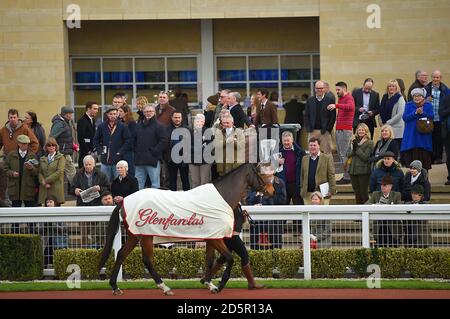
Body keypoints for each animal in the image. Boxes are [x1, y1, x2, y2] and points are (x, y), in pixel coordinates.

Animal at [98, 165, 274, 298]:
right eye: (260, 173)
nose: (271, 190)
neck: (220, 198)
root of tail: (124, 200)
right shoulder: (216, 239)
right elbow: (229, 258)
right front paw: (219, 286)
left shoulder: (211, 238)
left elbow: (210, 261)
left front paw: (209, 284)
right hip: (146, 236)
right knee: (147, 260)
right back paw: (165, 287)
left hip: (134, 235)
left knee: (121, 254)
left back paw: (115, 286)